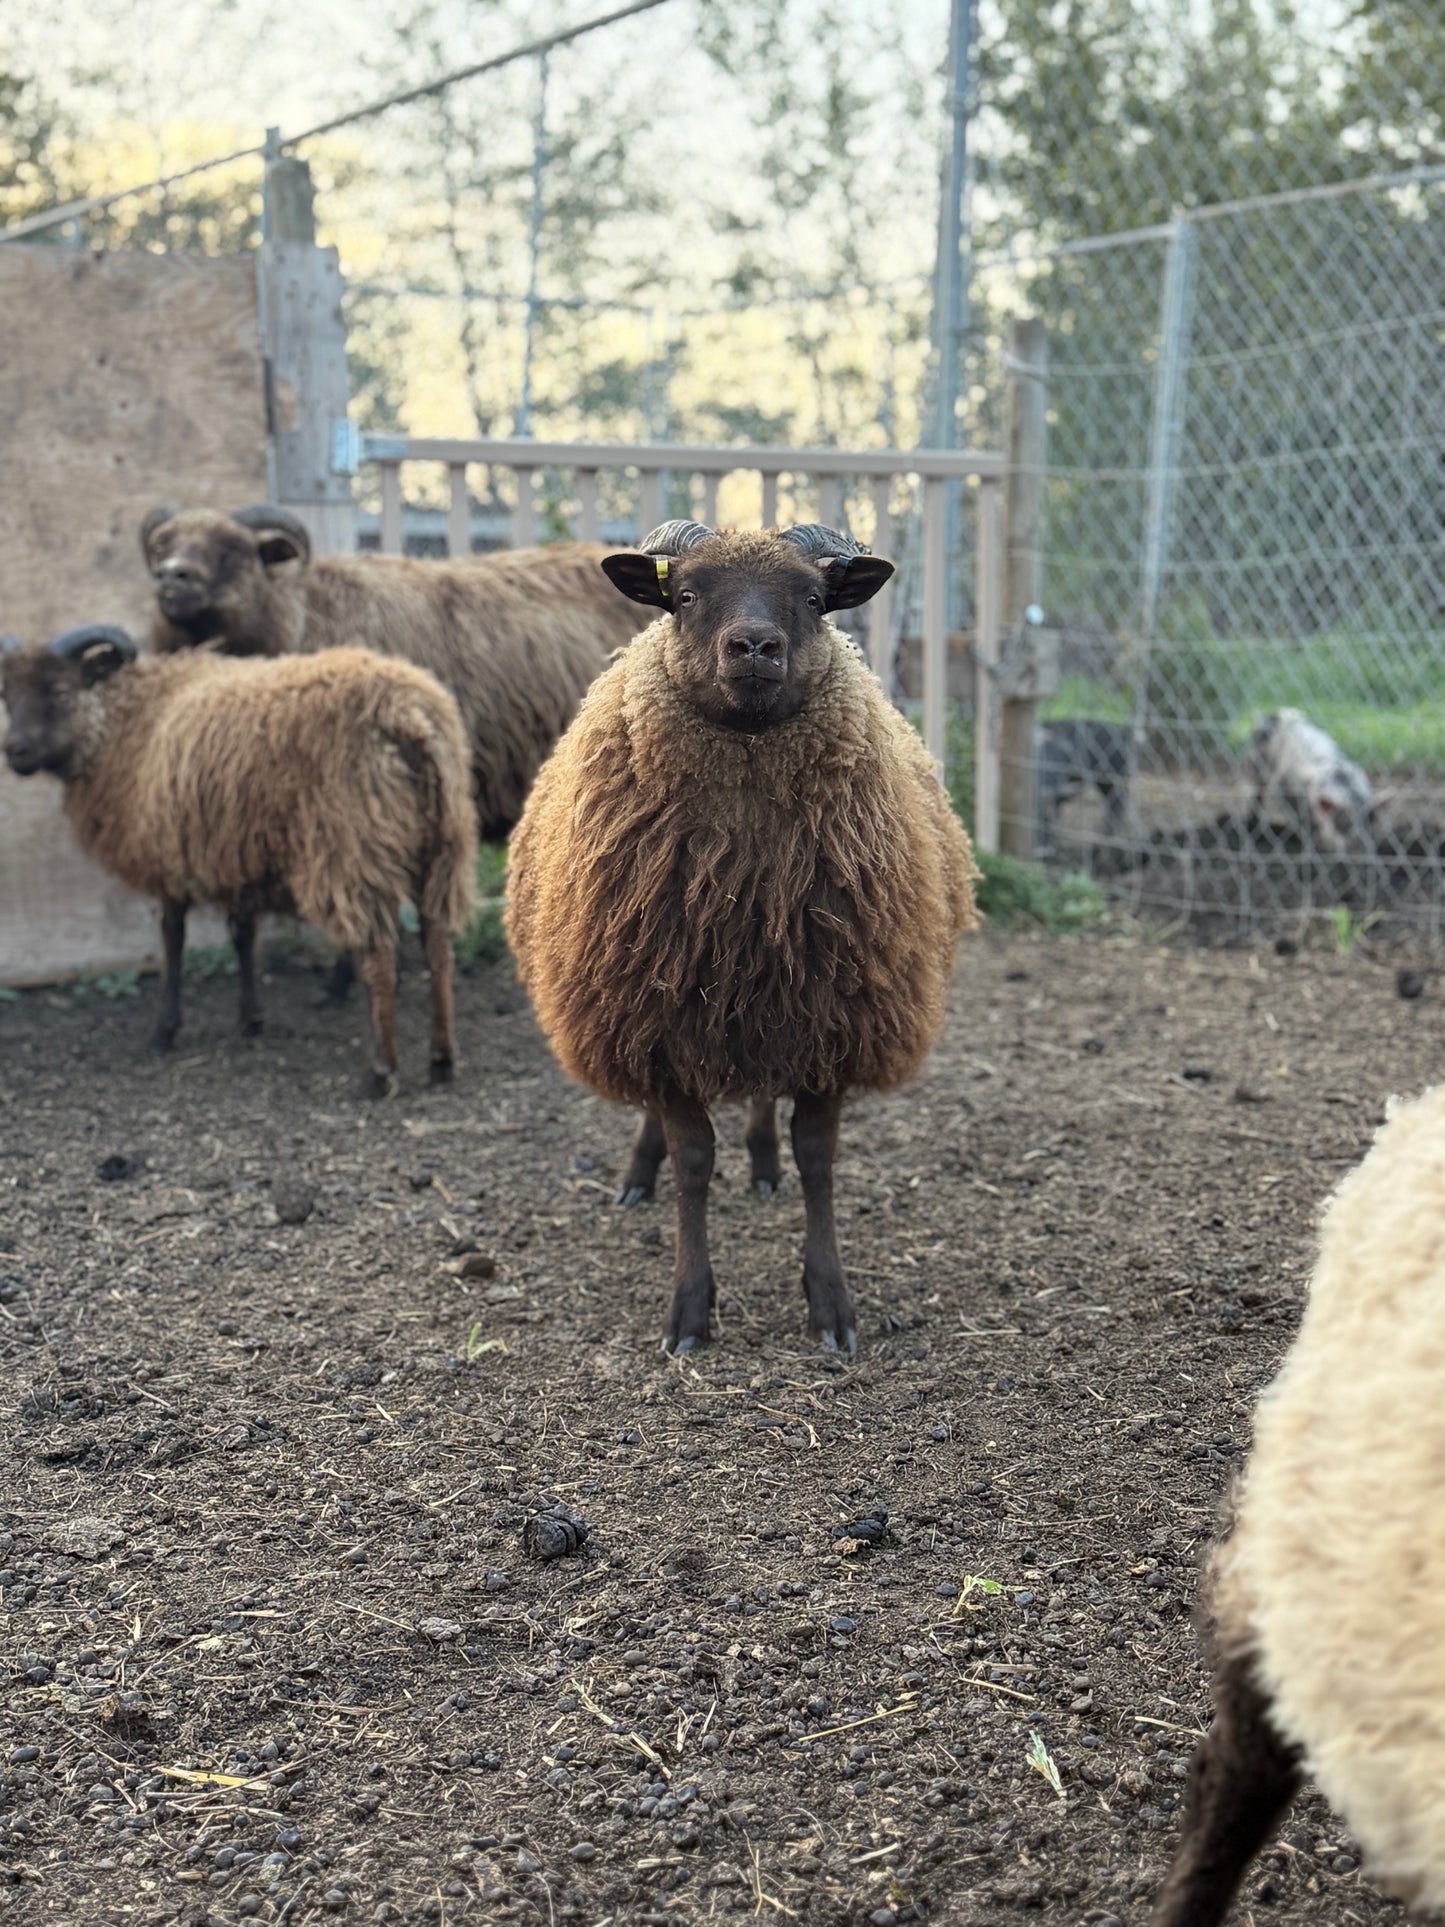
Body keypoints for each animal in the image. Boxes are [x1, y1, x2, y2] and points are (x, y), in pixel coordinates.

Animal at [1, 625, 477, 1094]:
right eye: (6, 695)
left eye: (61, 691)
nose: (14, 751)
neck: (126, 722)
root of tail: (407, 715)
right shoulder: (236, 858)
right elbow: (242, 935)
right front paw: (250, 1019)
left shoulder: (170, 857)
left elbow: (173, 937)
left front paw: (164, 1030)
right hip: (443, 843)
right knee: (438, 947)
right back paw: (442, 1059)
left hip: (353, 846)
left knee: (378, 956)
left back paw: (380, 1072)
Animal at [505, 520, 979, 1354]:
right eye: (686, 595)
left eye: (816, 599)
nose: (753, 645)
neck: (744, 883)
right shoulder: (655, 1024)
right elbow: (692, 1160)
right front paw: (689, 1310)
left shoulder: (832, 1021)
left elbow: (817, 1158)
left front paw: (830, 1304)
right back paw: (639, 1173)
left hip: (772, 1006)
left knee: (764, 1092)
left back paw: (761, 1161)